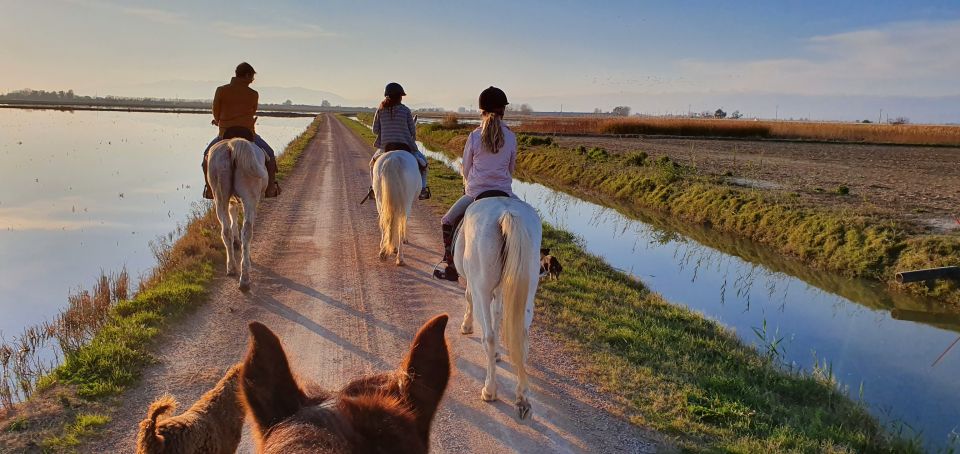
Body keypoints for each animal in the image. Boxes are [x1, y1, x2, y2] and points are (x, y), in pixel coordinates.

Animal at [208, 138, 268, 290]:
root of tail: (231, 145)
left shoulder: (231, 200)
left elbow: (232, 215)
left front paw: (236, 242)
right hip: (250, 198)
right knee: (247, 231)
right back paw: (245, 276)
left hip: (220, 196)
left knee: (225, 231)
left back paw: (232, 268)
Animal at [456, 197, 544, 420]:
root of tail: (507, 212)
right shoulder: (501, 289)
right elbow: (497, 313)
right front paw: (497, 356)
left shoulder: (476, 286)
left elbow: (469, 297)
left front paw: (466, 326)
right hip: (527, 292)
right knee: (522, 339)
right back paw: (522, 398)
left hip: (482, 288)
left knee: (488, 337)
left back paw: (490, 390)